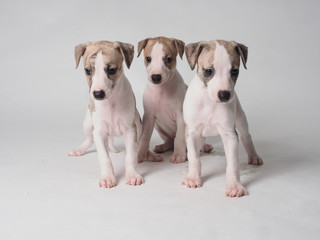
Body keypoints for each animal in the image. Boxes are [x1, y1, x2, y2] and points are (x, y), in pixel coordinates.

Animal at [69, 40, 144, 188]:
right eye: (88, 70)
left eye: (111, 70)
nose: (98, 94)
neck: (111, 102)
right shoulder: (99, 131)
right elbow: (104, 157)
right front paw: (108, 177)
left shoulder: (130, 130)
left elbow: (130, 156)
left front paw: (133, 175)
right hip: (88, 123)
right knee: (90, 138)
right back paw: (79, 150)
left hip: (139, 124)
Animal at [137, 36, 212, 164]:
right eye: (148, 58)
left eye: (168, 59)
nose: (155, 77)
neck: (161, 90)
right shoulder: (149, 117)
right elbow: (144, 137)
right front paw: (140, 153)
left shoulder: (181, 116)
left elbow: (179, 137)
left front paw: (179, 155)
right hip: (159, 127)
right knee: (170, 141)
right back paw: (163, 146)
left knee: (193, 142)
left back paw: (204, 147)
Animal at [182, 39, 262, 197]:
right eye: (208, 71)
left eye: (234, 71)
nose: (224, 95)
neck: (209, 101)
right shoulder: (191, 132)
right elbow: (194, 158)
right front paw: (193, 177)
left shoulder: (229, 134)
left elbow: (233, 164)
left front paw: (234, 186)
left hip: (241, 118)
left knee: (246, 136)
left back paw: (253, 155)